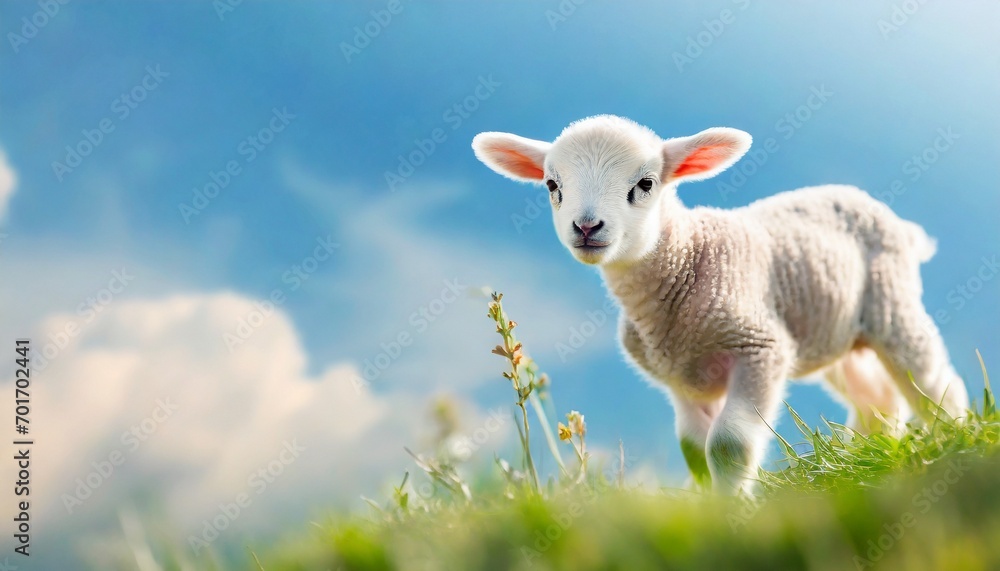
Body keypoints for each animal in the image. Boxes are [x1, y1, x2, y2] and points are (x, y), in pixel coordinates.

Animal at [471, 115, 969, 494]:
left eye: (646, 183)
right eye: (552, 185)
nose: (587, 226)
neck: (687, 257)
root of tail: (894, 220)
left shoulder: (759, 348)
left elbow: (728, 445)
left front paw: (736, 509)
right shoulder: (679, 378)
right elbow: (694, 449)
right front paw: (711, 503)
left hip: (892, 302)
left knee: (933, 380)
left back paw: (956, 439)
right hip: (836, 331)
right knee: (877, 397)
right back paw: (863, 458)